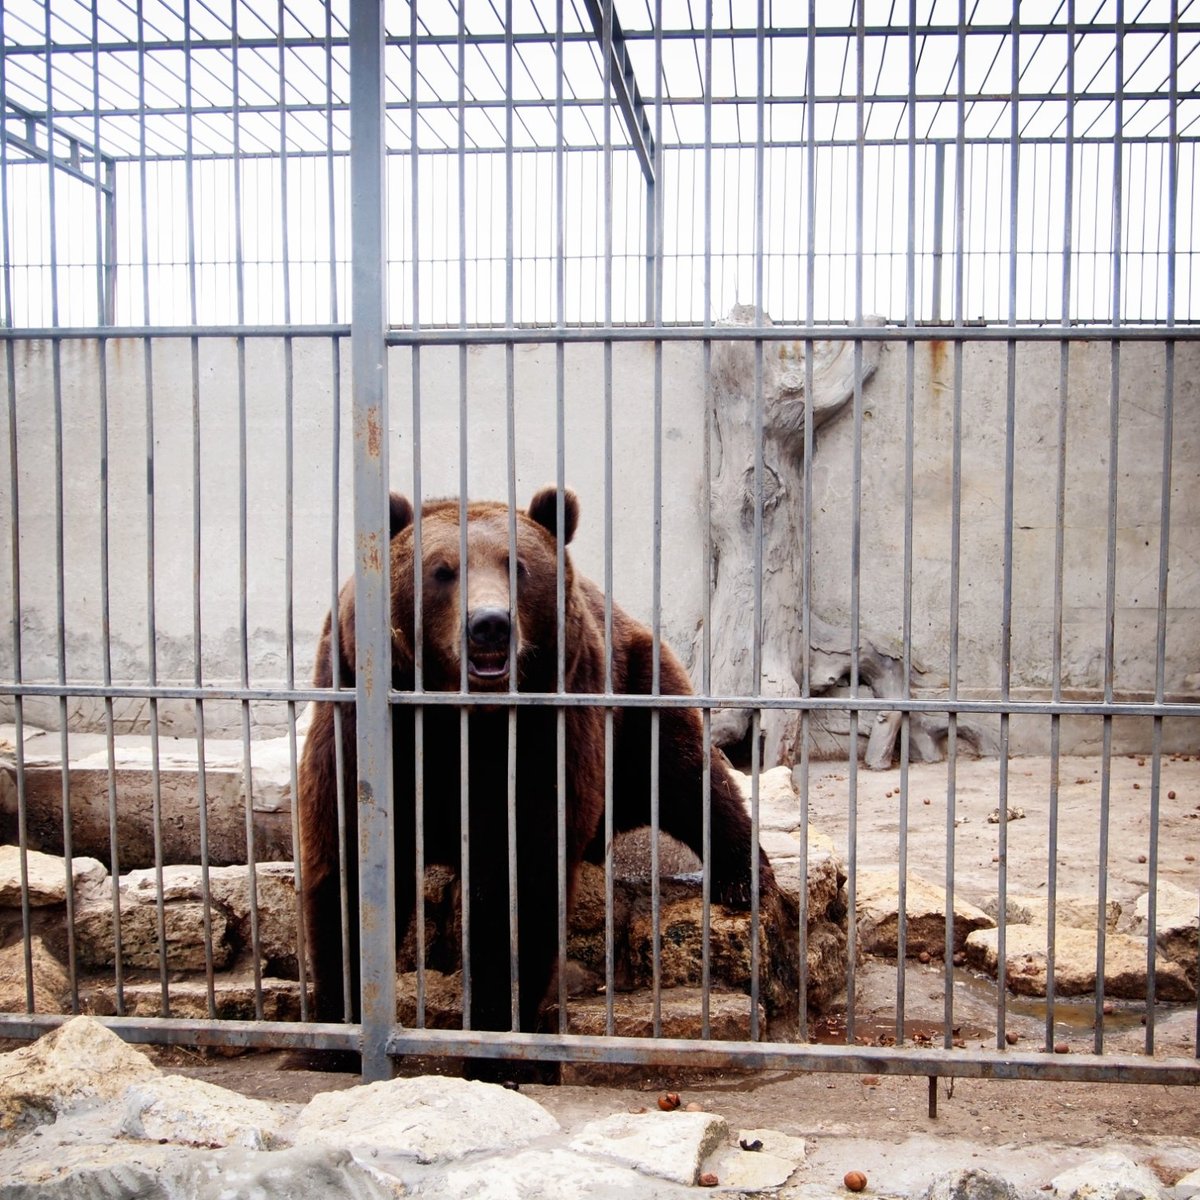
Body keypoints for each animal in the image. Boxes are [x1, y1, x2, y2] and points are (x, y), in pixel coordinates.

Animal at [300, 482, 777, 1046]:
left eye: (518, 566)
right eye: (441, 570)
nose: (489, 625)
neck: (460, 715)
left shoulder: (543, 726)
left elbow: (519, 878)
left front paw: (496, 1021)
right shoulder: (363, 720)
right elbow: (347, 867)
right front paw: (339, 1019)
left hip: (637, 694)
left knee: (688, 774)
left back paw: (742, 878)